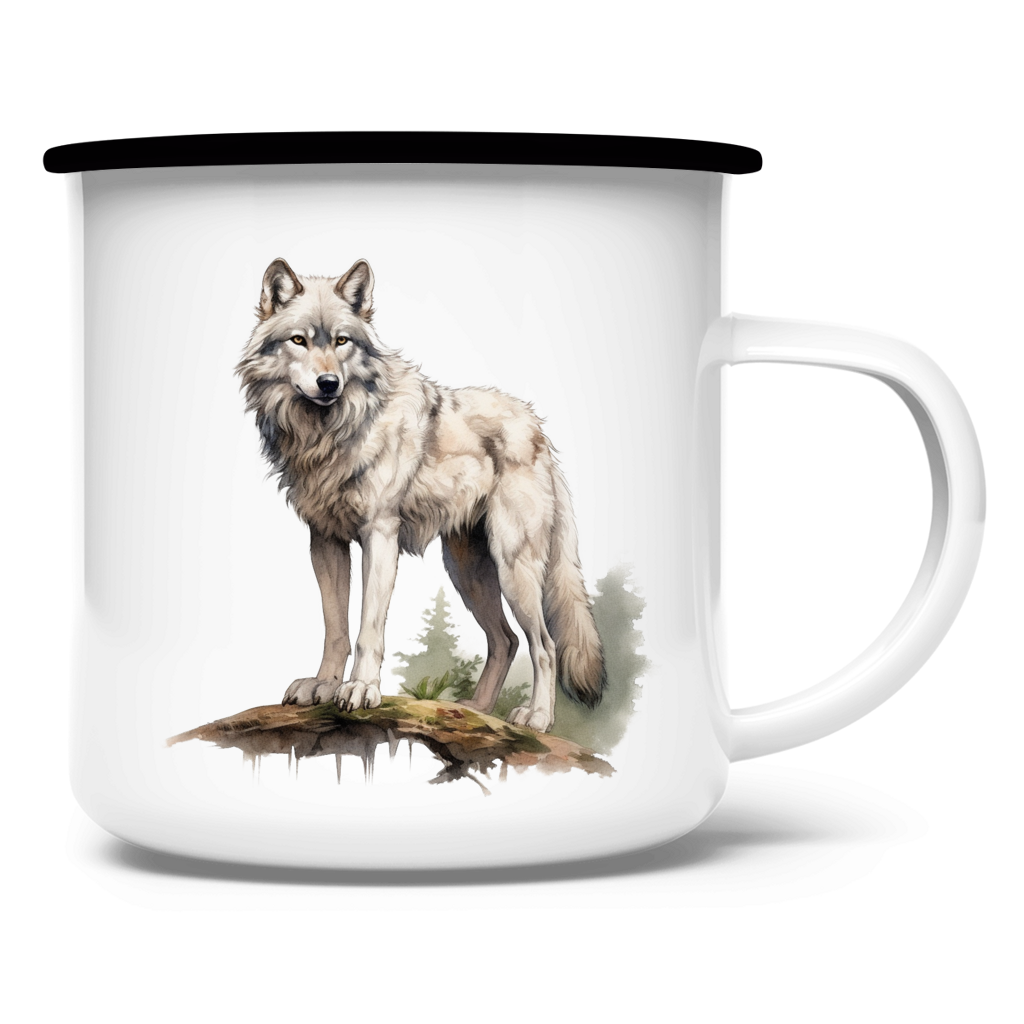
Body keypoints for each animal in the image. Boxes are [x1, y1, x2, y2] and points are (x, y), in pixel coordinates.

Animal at [232, 256, 604, 732]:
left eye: (342, 341)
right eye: (299, 340)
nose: (328, 383)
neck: (328, 434)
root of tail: (539, 426)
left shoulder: (380, 536)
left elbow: (369, 629)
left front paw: (362, 689)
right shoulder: (324, 541)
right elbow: (336, 628)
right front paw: (323, 686)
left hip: (513, 568)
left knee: (544, 644)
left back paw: (536, 718)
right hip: (467, 570)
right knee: (505, 641)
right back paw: (475, 711)